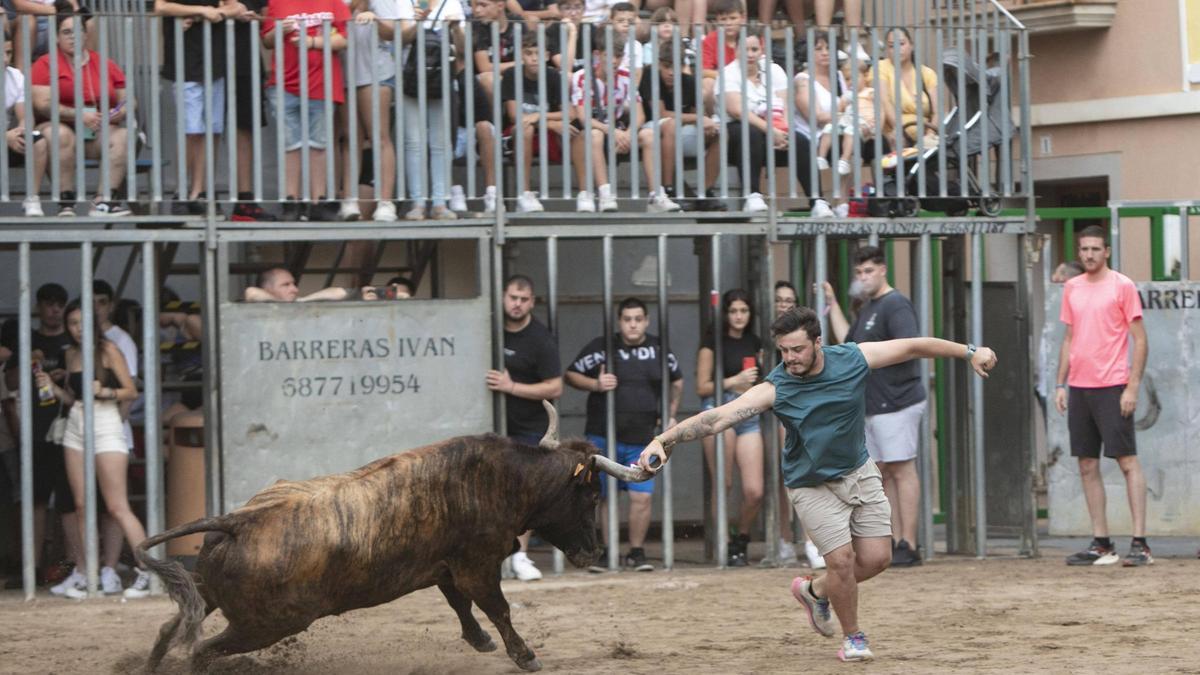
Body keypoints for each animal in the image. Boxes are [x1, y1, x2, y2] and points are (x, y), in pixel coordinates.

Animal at [136, 401, 652, 667]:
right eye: (592, 496)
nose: (594, 551)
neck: (502, 478)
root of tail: (236, 521)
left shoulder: (448, 566)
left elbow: (461, 606)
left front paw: (481, 642)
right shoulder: (478, 564)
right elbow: (497, 607)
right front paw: (524, 655)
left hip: (209, 593)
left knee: (168, 632)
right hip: (265, 625)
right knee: (202, 651)